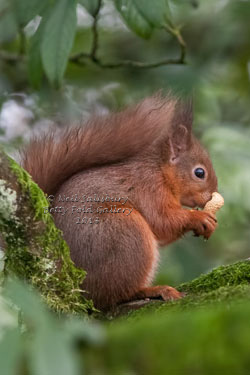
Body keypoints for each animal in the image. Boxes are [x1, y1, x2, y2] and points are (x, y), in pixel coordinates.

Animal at [22, 96, 217, 312]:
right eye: (199, 173)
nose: (211, 196)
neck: (160, 171)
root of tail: (73, 283)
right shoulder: (149, 189)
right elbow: (162, 221)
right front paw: (199, 217)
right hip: (125, 234)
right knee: (114, 295)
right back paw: (153, 290)